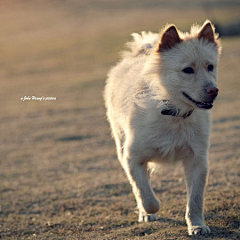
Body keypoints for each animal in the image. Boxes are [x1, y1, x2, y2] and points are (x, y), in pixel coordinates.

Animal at [104, 20, 222, 234]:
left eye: (210, 66)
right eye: (187, 70)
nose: (214, 91)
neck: (174, 113)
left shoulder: (198, 161)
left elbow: (195, 200)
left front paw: (197, 225)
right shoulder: (132, 158)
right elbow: (146, 196)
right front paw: (148, 211)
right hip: (120, 143)